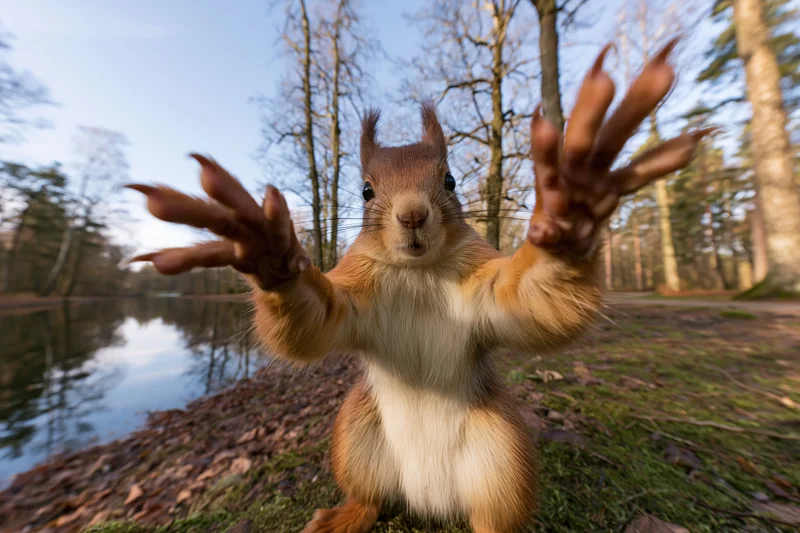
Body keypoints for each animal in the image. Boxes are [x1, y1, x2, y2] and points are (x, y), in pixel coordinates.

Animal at [128, 40, 712, 533]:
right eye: (365, 190)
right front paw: (268, 249)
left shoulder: (485, 288)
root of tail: (430, 499)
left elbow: (532, 303)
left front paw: (573, 208)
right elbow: (313, 322)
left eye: (450, 180)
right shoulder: (353, 295)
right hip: (354, 433)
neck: (418, 273)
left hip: (502, 452)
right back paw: (344, 517)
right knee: (370, 498)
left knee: (494, 516)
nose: (412, 214)